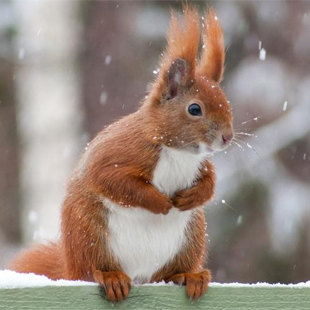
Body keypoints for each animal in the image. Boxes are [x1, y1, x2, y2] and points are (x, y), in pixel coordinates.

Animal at [9, 7, 232, 302]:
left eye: (226, 102)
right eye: (194, 109)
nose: (228, 137)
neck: (178, 152)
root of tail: (138, 274)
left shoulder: (200, 164)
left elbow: (210, 181)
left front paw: (193, 196)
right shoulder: (122, 152)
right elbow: (115, 181)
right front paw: (160, 203)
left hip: (190, 238)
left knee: (167, 274)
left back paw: (188, 276)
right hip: (89, 234)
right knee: (92, 269)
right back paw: (110, 277)